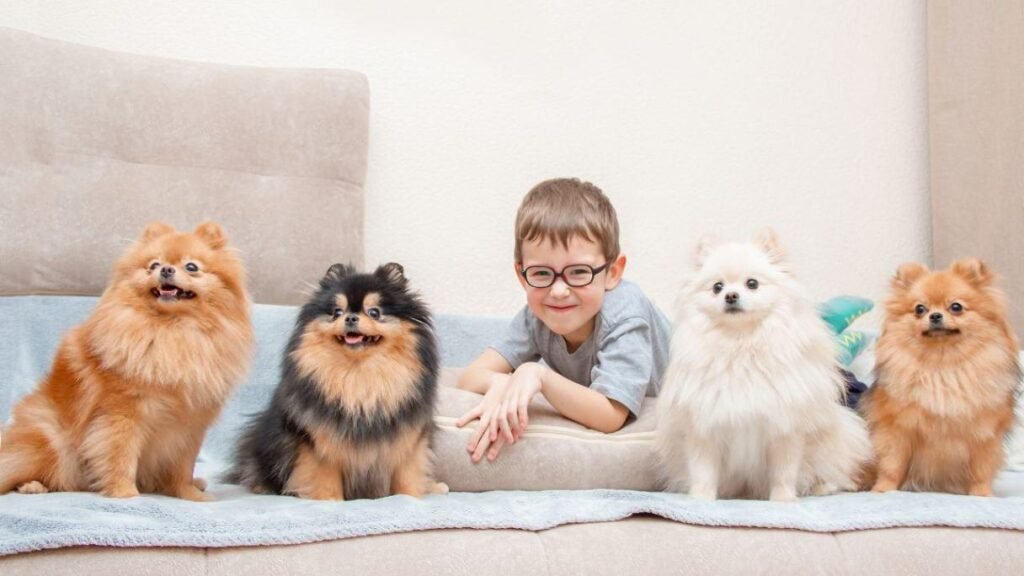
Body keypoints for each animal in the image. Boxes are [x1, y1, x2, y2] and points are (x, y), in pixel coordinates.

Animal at [0, 219, 251, 498]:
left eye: (191, 267)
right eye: (153, 265)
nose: (165, 269)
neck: (172, 331)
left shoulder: (190, 424)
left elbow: (183, 467)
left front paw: (190, 494)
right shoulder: (122, 414)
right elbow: (120, 455)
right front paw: (124, 493)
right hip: (49, 438)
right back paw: (32, 485)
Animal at [655, 228, 872, 498]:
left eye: (752, 284)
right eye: (717, 287)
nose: (730, 295)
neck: (741, 343)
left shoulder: (785, 429)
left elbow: (784, 471)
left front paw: (783, 499)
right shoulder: (705, 428)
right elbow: (703, 471)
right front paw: (700, 498)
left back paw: (822, 487)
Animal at [860, 256, 1019, 494]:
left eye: (956, 307)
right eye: (919, 309)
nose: (935, 315)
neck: (943, 366)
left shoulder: (985, 434)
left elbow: (981, 470)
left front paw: (981, 494)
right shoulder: (897, 429)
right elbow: (892, 464)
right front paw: (883, 489)